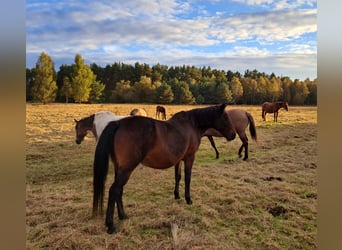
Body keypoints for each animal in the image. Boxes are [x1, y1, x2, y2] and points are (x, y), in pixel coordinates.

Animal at [91, 104, 235, 234]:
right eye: (225, 117)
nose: (233, 135)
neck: (192, 124)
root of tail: (118, 123)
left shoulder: (178, 159)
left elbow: (178, 177)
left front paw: (177, 195)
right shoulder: (189, 158)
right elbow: (187, 178)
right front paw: (188, 199)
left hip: (120, 168)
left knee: (119, 190)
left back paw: (123, 216)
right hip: (127, 169)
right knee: (114, 190)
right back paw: (111, 225)